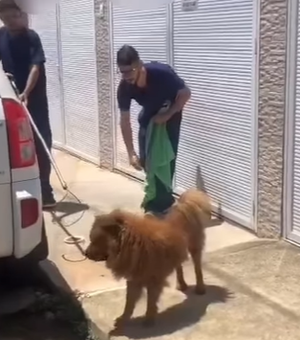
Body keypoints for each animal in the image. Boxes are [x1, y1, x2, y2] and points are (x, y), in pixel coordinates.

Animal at [84, 189, 211, 330]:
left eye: (95, 240)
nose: (85, 253)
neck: (133, 243)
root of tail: (183, 207)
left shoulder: (153, 280)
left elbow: (150, 301)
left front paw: (149, 319)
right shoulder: (134, 279)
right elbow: (129, 303)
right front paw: (123, 319)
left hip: (194, 248)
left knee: (197, 267)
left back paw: (200, 288)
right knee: (179, 266)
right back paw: (181, 284)